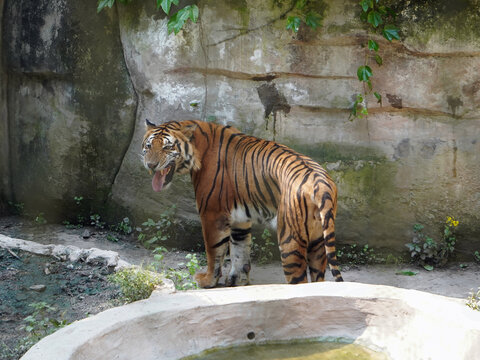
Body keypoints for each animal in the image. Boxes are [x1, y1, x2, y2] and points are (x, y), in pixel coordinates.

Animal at [141, 119, 344, 288]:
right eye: (148, 146)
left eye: (168, 147)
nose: (150, 165)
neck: (199, 146)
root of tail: (322, 185)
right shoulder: (240, 218)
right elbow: (239, 250)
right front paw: (238, 280)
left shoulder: (212, 214)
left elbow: (214, 252)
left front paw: (207, 281)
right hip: (318, 243)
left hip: (290, 240)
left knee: (299, 282)